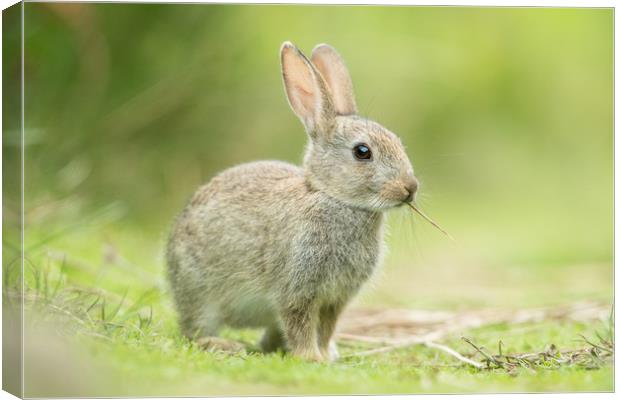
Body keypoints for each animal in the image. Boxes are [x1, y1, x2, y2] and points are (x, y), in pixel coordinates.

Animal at [167, 41, 418, 362]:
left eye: (398, 142)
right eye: (363, 152)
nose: (410, 188)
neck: (334, 198)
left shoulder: (334, 299)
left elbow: (325, 328)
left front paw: (325, 354)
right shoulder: (297, 288)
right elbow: (300, 322)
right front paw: (312, 357)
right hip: (198, 289)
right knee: (194, 328)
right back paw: (223, 344)